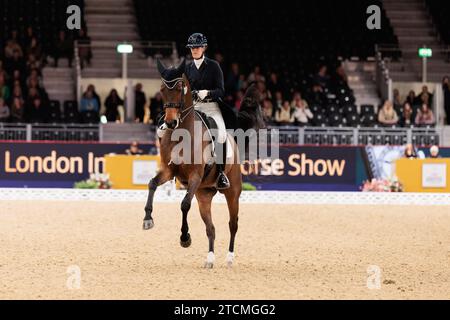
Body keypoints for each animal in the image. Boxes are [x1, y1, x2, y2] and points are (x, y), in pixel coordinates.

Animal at [143, 59, 264, 268]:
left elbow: (184, 205)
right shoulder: (168, 171)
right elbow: (152, 184)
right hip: (204, 195)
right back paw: (209, 259)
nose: (170, 122)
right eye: (162, 89)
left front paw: (185, 238)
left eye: (180, 88)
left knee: (233, 224)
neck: (181, 134)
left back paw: (229, 258)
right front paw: (148, 219)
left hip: (232, 192)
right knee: (211, 228)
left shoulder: (195, 176)